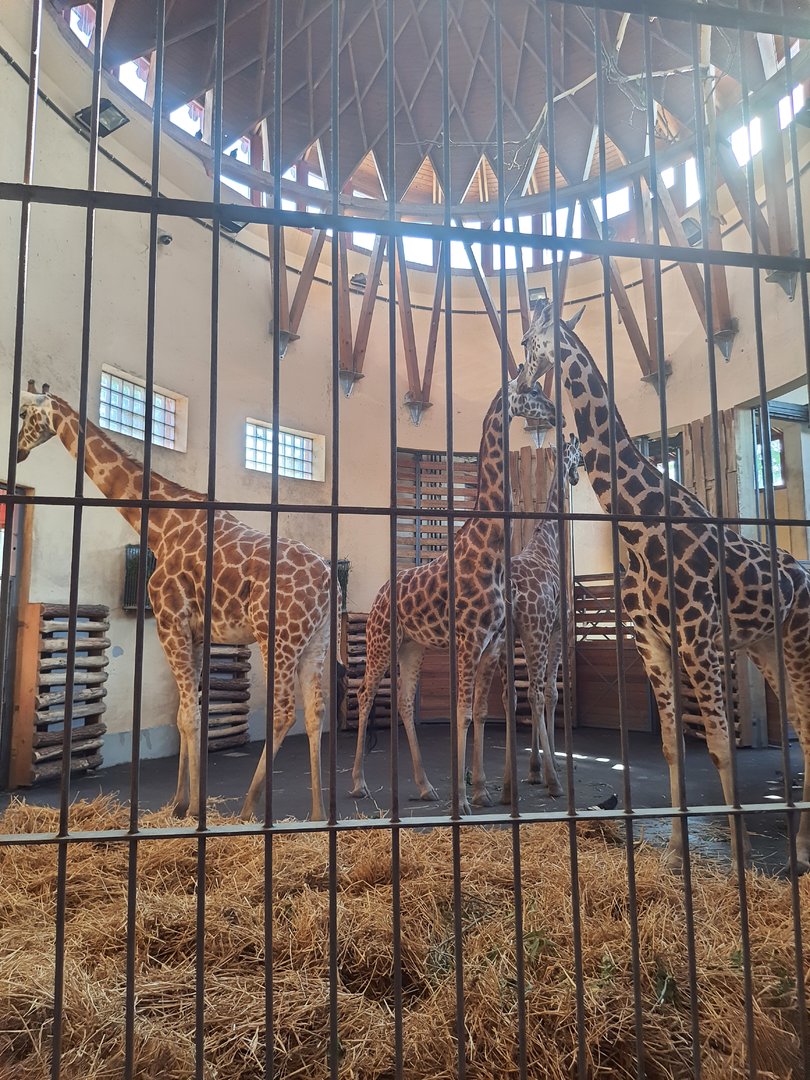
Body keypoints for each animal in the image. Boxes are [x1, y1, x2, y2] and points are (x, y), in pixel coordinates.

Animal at [16, 383, 339, 822]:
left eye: (21, 414)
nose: (17, 451)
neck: (159, 525)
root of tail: (327, 578)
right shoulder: (196, 631)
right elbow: (189, 714)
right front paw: (179, 803)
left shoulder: (170, 620)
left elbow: (187, 715)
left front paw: (193, 806)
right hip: (316, 639)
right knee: (315, 710)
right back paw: (317, 814)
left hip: (278, 636)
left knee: (284, 709)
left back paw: (248, 808)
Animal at [349, 377, 557, 815]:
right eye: (532, 389)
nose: (555, 414)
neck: (488, 545)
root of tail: (377, 597)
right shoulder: (469, 641)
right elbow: (461, 713)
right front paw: (462, 800)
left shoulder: (491, 644)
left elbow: (478, 711)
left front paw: (479, 791)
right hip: (381, 641)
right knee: (364, 694)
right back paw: (359, 784)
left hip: (412, 646)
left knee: (405, 704)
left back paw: (425, 785)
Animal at [518, 302, 810, 871]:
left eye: (525, 343)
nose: (521, 384)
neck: (640, 523)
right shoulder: (653, 641)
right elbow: (674, 744)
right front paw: (675, 851)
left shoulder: (698, 640)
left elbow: (718, 743)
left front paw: (740, 855)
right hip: (769, 647)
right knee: (803, 729)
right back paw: (801, 851)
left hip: (797, 644)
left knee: (806, 727)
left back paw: (801, 852)